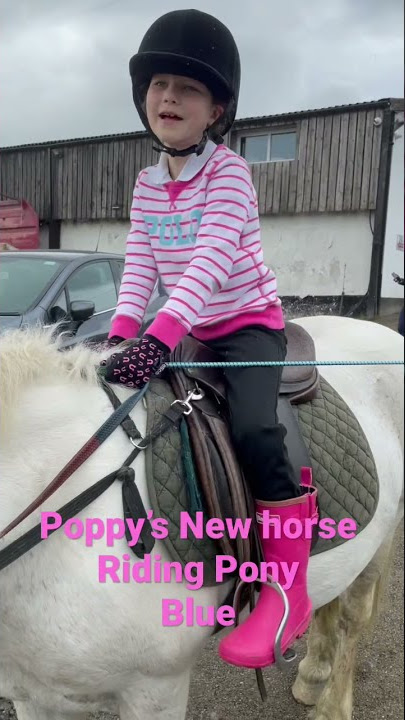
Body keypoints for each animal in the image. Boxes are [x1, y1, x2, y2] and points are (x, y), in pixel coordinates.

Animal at [0, 315, 403, 720]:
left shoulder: (156, 689)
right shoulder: (32, 696)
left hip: (380, 540)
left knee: (352, 618)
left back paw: (331, 705)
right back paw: (312, 673)